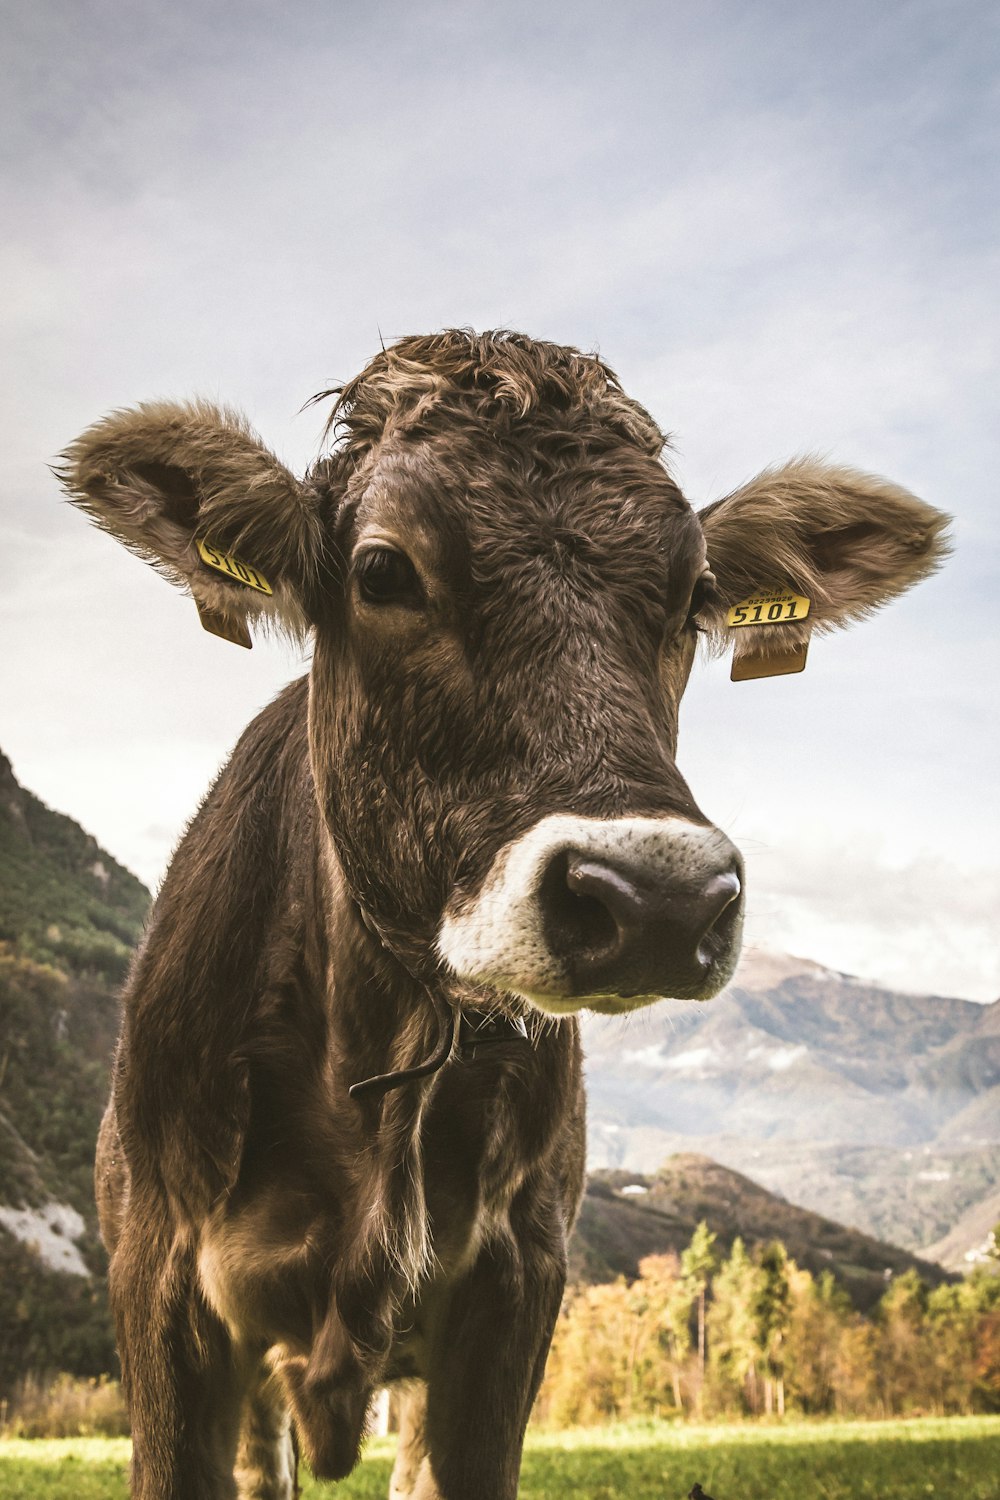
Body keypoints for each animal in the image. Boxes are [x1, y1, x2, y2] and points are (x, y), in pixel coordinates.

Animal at [58, 331, 953, 1500]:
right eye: (381, 571)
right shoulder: (162, 1286)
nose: (657, 897)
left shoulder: (516, 1282)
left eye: (695, 594)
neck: (376, 1061)